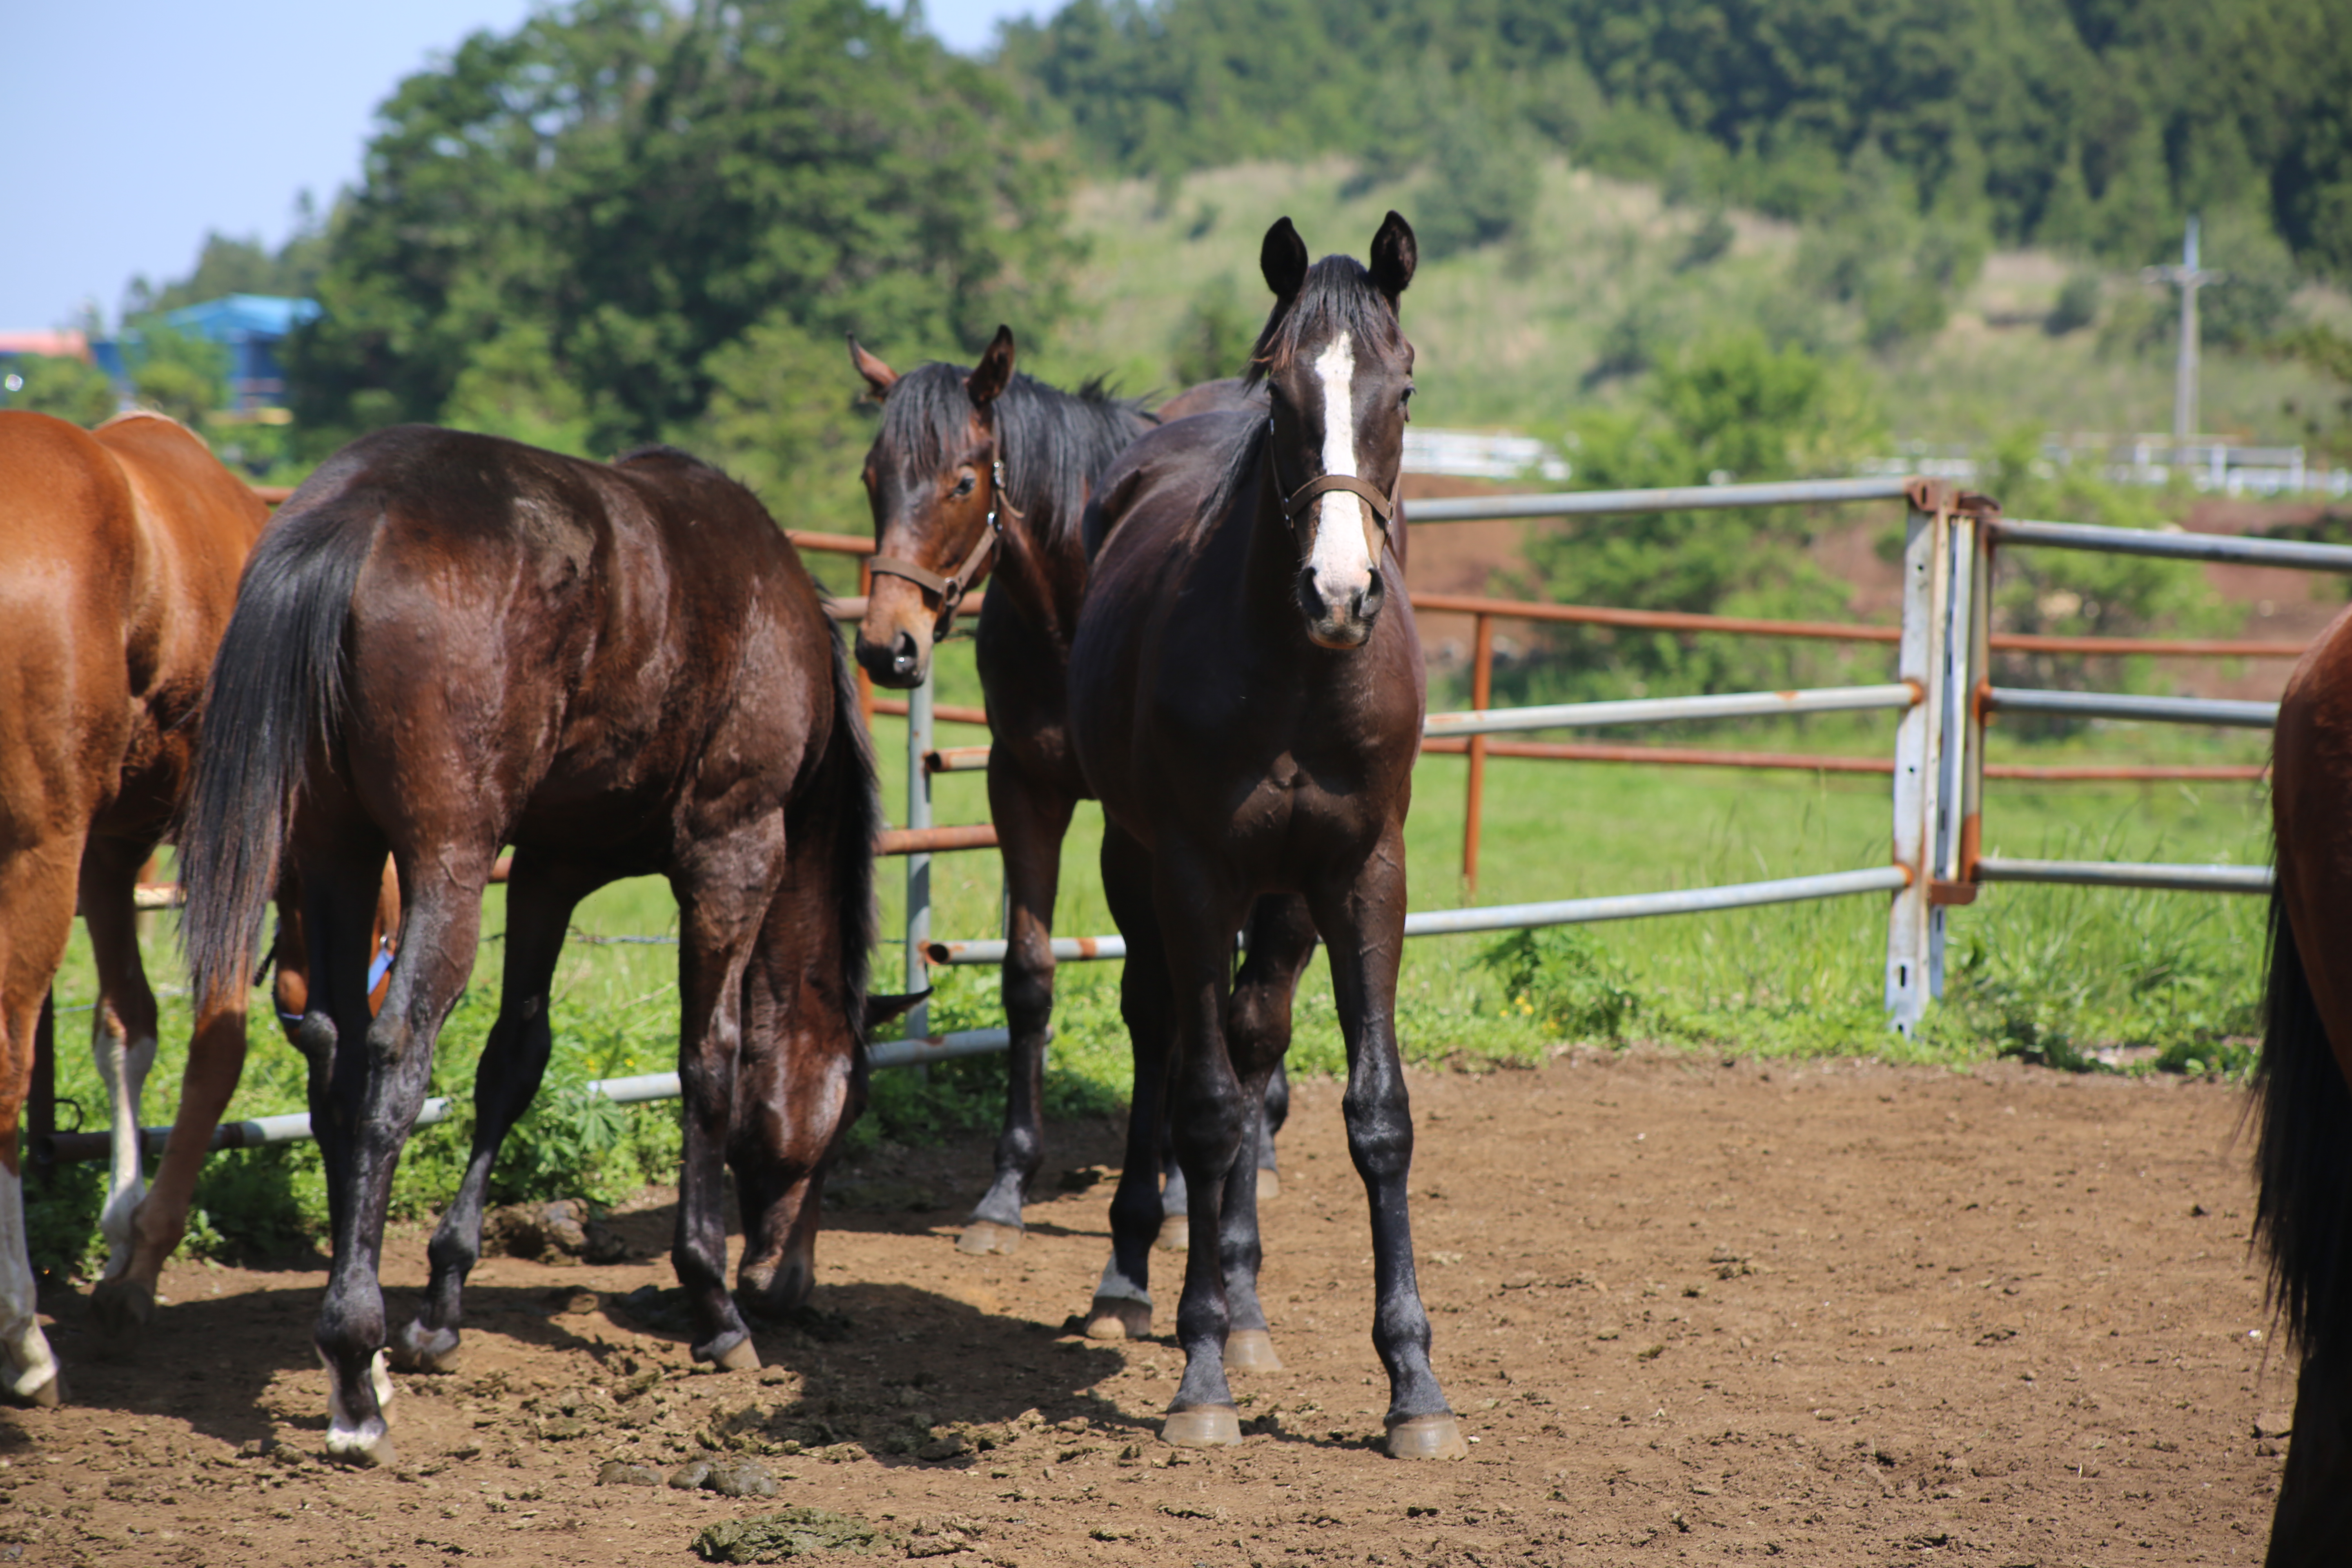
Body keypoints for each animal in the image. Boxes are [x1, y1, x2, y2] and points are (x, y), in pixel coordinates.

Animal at [178, 423, 893, 1467]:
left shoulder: (553, 867)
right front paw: (714, 1301)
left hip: (337, 852)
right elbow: (709, 1062)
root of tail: (357, 514)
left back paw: (368, 1341)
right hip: (447, 862)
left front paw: (442, 1303)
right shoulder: (732, 852)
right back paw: (353, 1369)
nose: (786, 1283)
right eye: (848, 1116)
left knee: (339, 1061)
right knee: (393, 1059)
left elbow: (514, 1062)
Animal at [851, 331, 1289, 1260]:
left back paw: (1256, 1145)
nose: (886, 648)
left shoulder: (1138, 828)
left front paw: (1171, 1191)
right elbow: (1029, 978)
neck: (1076, 598)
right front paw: (1006, 1189)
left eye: (964, 482)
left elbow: (1168, 995)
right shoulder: (1023, 785)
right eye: (873, 477)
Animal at [1072, 212, 1468, 1457]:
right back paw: (1144, 1286)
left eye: (1403, 385)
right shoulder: (1194, 874)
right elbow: (1200, 1112)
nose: (1338, 593)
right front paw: (1199, 1377)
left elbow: (1375, 1116)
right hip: (1134, 865)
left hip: (1286, 899)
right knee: (1165, 1032)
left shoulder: (1362, 876)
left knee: (1253, 1045)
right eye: (1279, 386)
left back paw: (1245, 1307)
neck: (1297, 675)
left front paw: (1413, 1386)